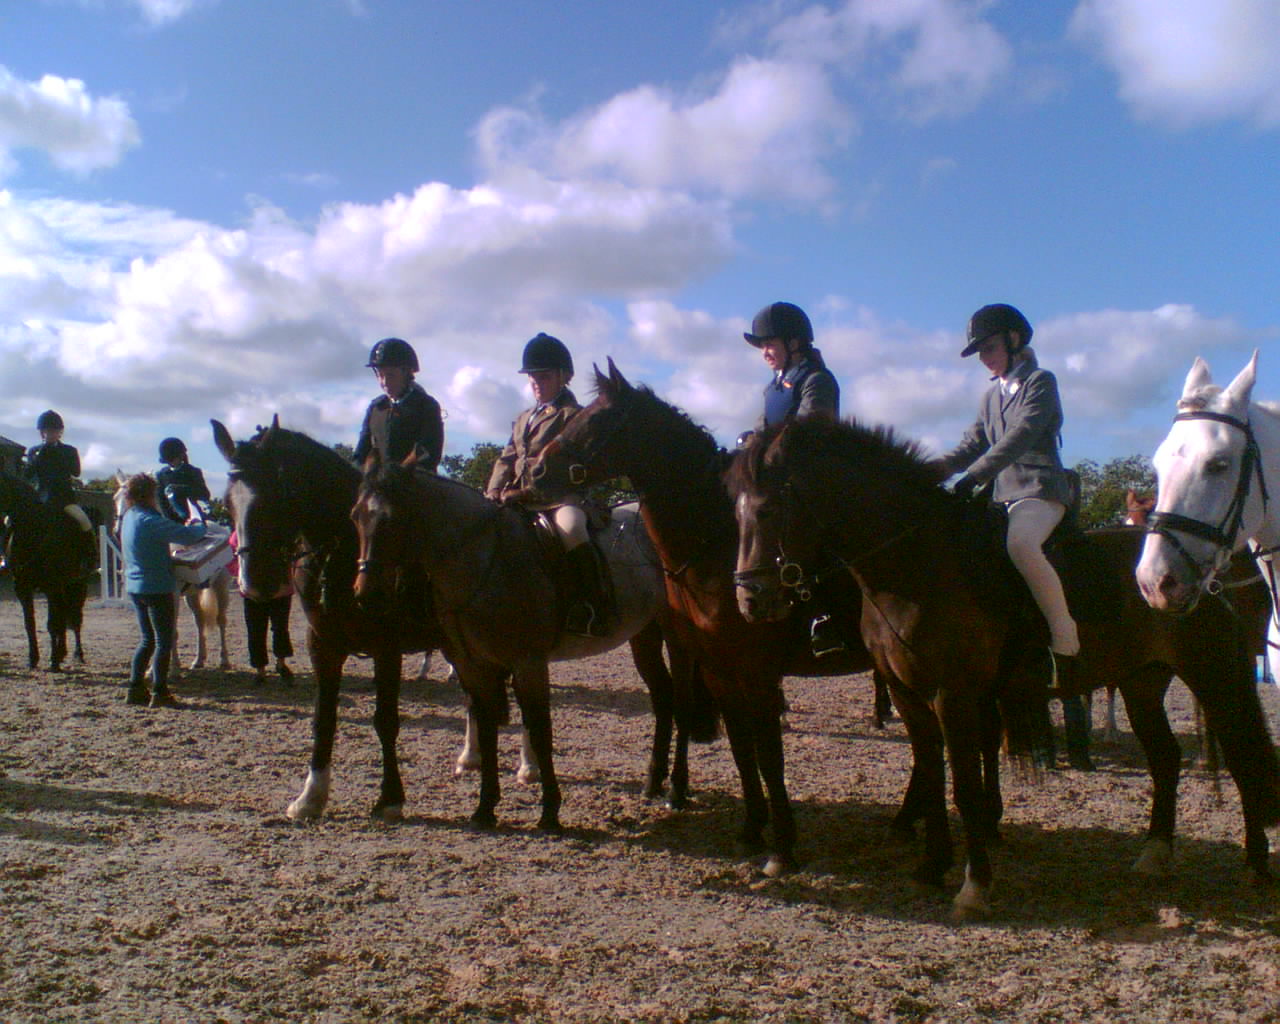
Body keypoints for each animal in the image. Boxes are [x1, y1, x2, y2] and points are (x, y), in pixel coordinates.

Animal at [0, 471, 88, 671]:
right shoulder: (22, 588)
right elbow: (30, 623)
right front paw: (33, 659)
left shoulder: (52, 587)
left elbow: (52, 623)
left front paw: (53, 661)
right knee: (64, 615)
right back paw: (63, 652)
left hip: (78, 585)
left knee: (75, 618)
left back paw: (77, 654)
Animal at [350, 452, 715, 831]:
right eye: (355, 516)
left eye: (391, 520)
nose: (366, 596)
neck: (487, 558)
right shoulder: (475, 664)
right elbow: (488, 725)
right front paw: (485, 808)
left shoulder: (528, 662)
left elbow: (539, 729)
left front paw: (549, 810)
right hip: (644, 634)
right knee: (662, 698)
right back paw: (653, 783)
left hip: (677, 637)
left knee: (682, 703)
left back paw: (676, 791)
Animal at [534, 360, 894, 882]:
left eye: (596, 420)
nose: (537, 471)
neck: (718, 546)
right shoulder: (722, 672)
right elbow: (743, 750)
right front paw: (751, 829)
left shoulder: (757, 675)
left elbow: (769, 756)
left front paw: (783, 847)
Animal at [729, 416, 1280, 891]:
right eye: (735, 512)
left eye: (769, 509)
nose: (750, 601)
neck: (916, 563)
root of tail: (1208, 570)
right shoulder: (910, 697)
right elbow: (933, 777)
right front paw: (932, 866)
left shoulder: (953, 697)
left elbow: (964, 786)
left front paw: (974, 883)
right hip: (1142, 680)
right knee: (1165, 757)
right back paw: (1155, 853)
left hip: (1213, 675)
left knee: (1243, 758)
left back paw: (1255, 867)